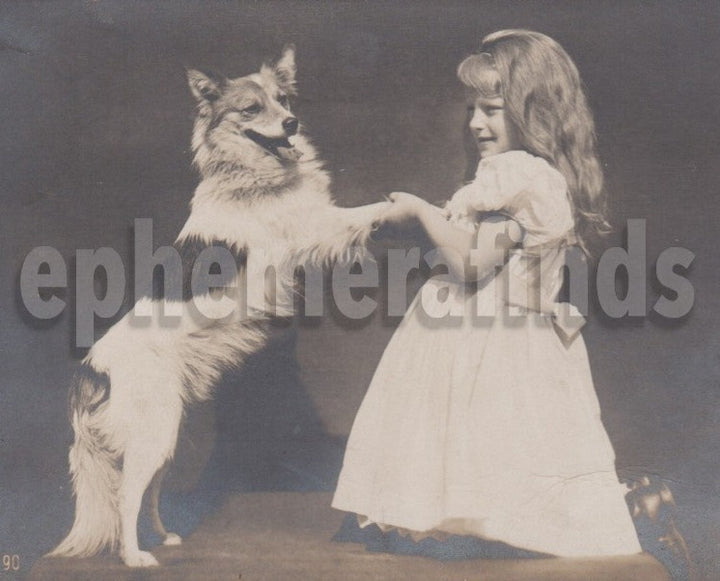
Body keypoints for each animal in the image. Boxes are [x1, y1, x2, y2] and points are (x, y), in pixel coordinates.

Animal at [46, 45, 388, 568]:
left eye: (284, 99)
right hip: (153, 432)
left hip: (165, 434)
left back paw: (161, 537)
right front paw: (423, 206)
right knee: (126, 495)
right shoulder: (312, 229)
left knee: (149, 494)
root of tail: (92, 369)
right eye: (251, 108)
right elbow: (369, 211)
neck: (253, 175)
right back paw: (134, 556)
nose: (292, 123)